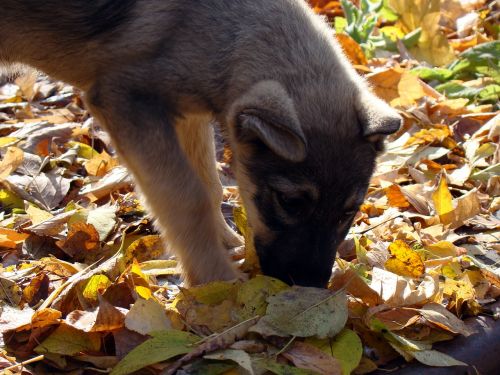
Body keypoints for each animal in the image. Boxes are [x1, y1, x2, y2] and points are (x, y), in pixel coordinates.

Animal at [0, 0, 398, 288]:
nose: (309, 286)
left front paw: (227, 243)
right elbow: (187, 197)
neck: (227, 31)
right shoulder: (128, 103)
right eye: (289, 202)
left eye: (349, 212)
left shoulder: (187, 115)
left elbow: (209, 186)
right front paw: (216, 282)